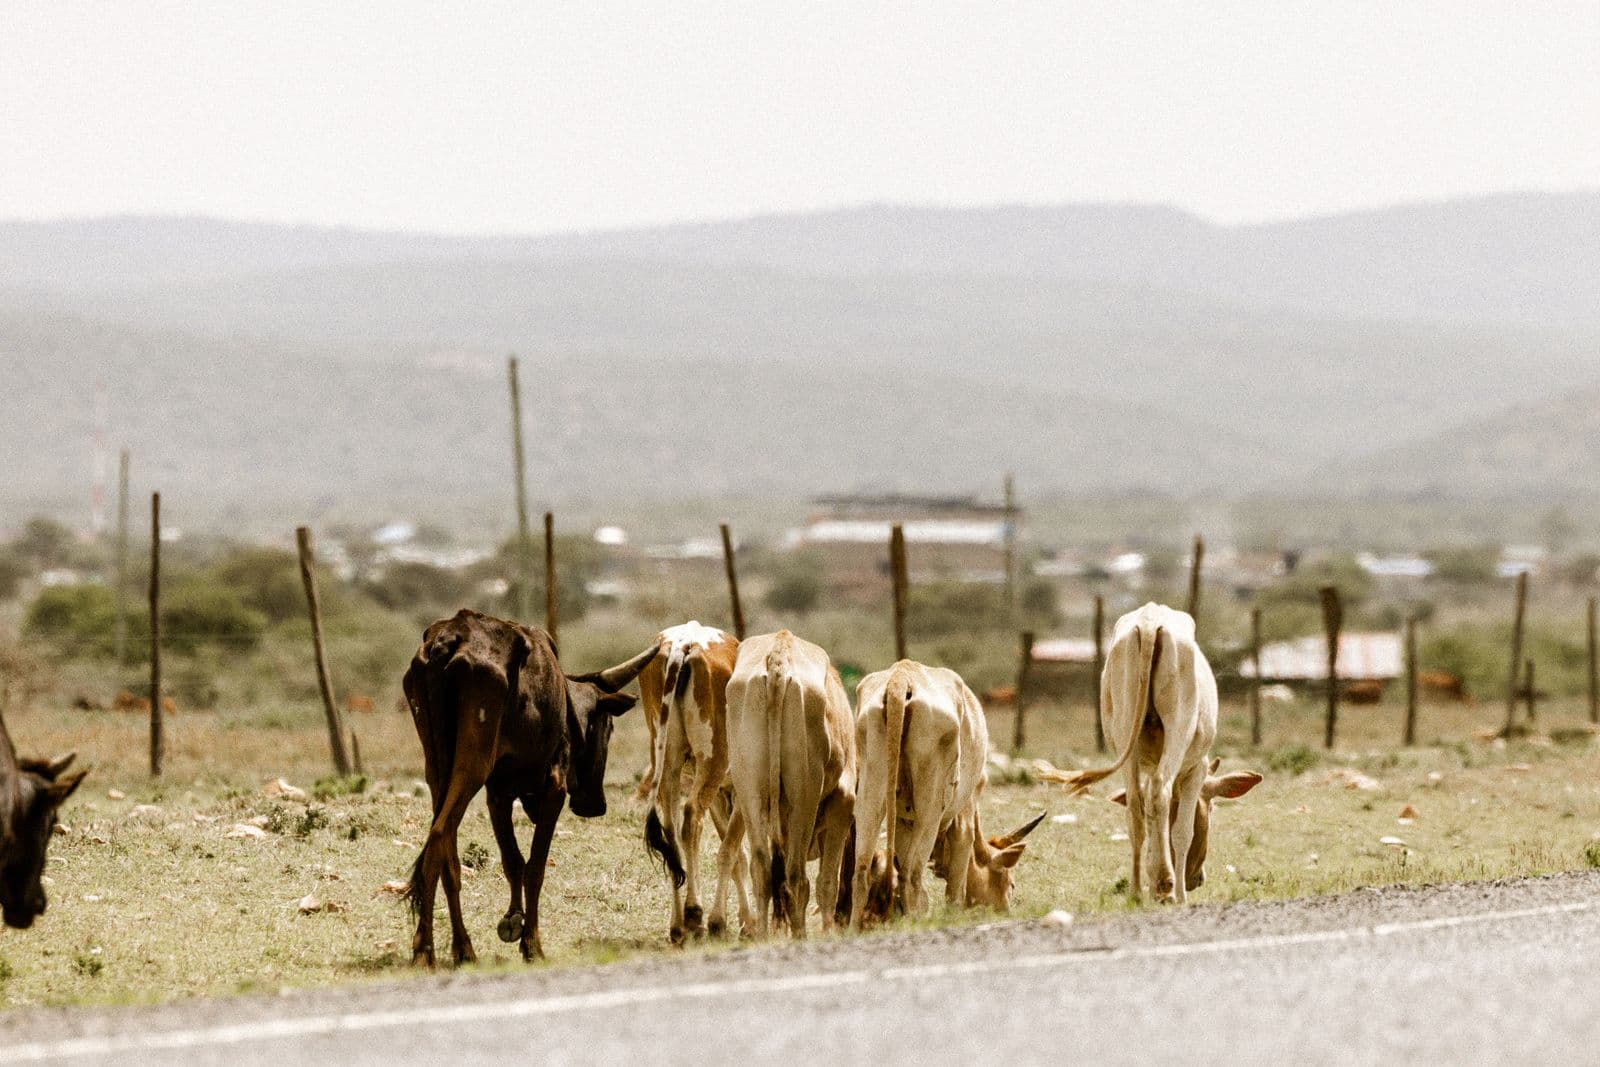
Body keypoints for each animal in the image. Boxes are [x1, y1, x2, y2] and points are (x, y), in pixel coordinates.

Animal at [401, 608, 657, 965]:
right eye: (608, 726)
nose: (595, 805)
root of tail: (447, 643)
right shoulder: (553, 789)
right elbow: (535, 866)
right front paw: (531, 943)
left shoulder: (498, 794)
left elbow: (513, 862)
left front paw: (513, 919)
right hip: (472, 766)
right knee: (440, 835)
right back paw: (427, 950)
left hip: (437, 769)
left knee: (446, 847)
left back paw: (462, 948)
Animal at [638, 621, 752, 943]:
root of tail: (683, 644)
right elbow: (732, 852)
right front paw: (733, 921)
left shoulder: (722, 794)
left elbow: (738, 855)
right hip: (712, 762)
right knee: (690, 818)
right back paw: (695, 913)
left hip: (670, 761)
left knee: (672, 829)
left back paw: (678, 924)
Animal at [725, 630, 855, 938]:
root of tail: (778, 657)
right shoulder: (843, 803)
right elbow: (827, 884)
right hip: (804, 799)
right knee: (797, 877)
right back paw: (800, 936)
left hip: (750, 794)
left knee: (762, 868)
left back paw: (762, 936)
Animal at [852, 660, 1041, 925]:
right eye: (1009, 883)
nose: (1006, 911)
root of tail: (901, 676)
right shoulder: (965, 815)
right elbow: (955, 889)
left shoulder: (903, 821)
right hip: (931, 807)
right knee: (911, 873)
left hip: (871, 792)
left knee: (862, 870)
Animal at [1049, 603, 1261, 904]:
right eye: (1213, 808)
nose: (1197, 879)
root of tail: (1150, 622)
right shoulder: (1197, 769)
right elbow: (1182, 831)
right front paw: (1179, 893)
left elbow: (1149, 818)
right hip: (1177, 727)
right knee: (1160, 792)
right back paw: (1165, 885)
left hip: (1126, 732)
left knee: (1136, 811)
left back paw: (1138, 891)